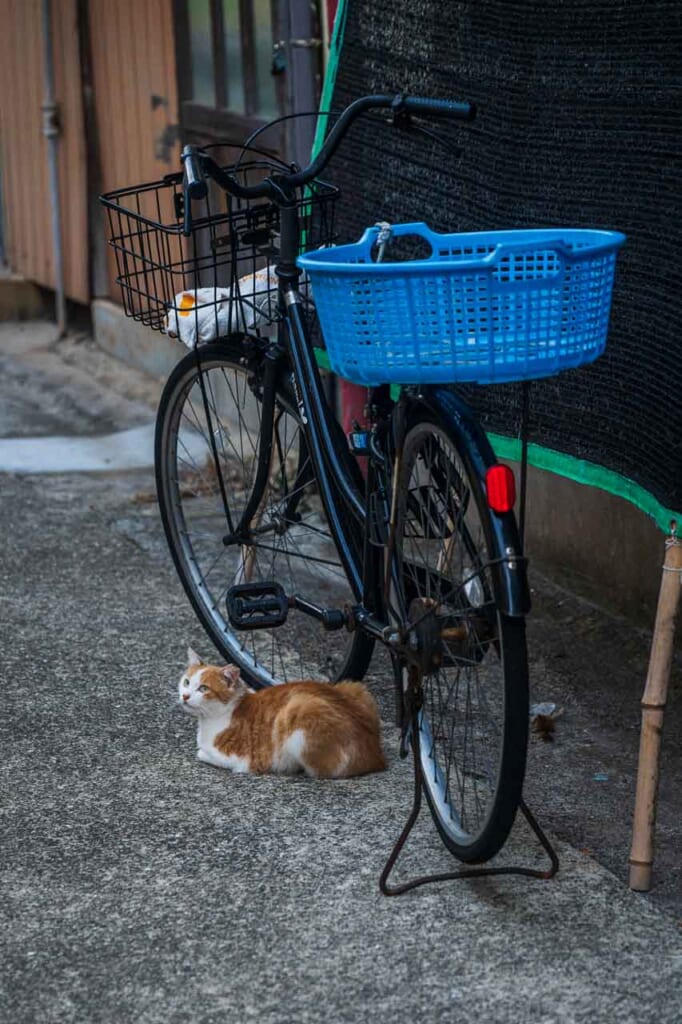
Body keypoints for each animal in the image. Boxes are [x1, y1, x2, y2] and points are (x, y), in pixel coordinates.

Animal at [178, 651, 385, 778]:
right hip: (354, 687)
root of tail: (376, 755)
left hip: (300, 713)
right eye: (186, 682)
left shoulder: (241, 759)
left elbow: (201, 752)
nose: (185, 696)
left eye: (203, 688)